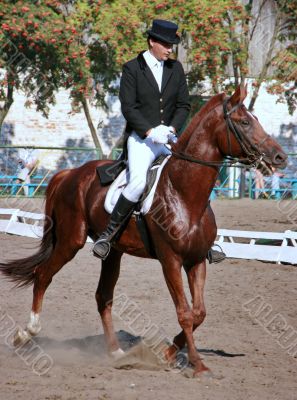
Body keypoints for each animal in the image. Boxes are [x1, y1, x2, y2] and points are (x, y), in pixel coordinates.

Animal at [0, 84, 286, 376]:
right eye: (244, 122)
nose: (280, 157)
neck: (184, 193)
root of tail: (69, 174)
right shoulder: (170, 260)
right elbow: (184, 312)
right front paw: (196, 363)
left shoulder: (196, 260)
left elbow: (199, 313)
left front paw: (168, 354)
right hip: (71, 241)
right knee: (43, 275)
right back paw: (26, 333)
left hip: (112, 252)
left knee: (103, 297)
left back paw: (116, 353)